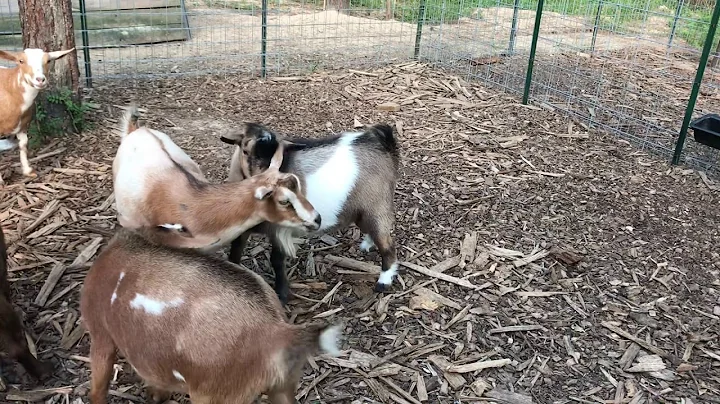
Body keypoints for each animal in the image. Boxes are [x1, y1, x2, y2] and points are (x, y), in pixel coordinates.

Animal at [0, 47, 76, 183]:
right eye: (21, 61)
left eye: (48, 60)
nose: (40, 80)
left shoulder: (23, 125)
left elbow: (24, 145)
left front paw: (28, 171)